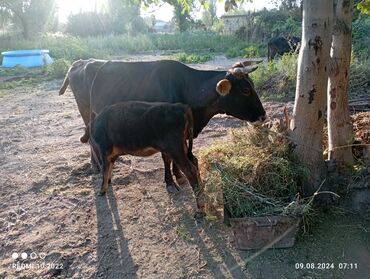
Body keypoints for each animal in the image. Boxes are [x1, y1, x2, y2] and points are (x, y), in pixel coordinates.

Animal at [58, 58, 266, 195]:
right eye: (245, 90)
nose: (263, 116)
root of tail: (80, 62)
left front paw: (178, 176)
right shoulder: (164, 133)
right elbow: (166, 158)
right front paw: (170, 182)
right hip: (86, 111)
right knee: (89, 138)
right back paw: (96, 165)